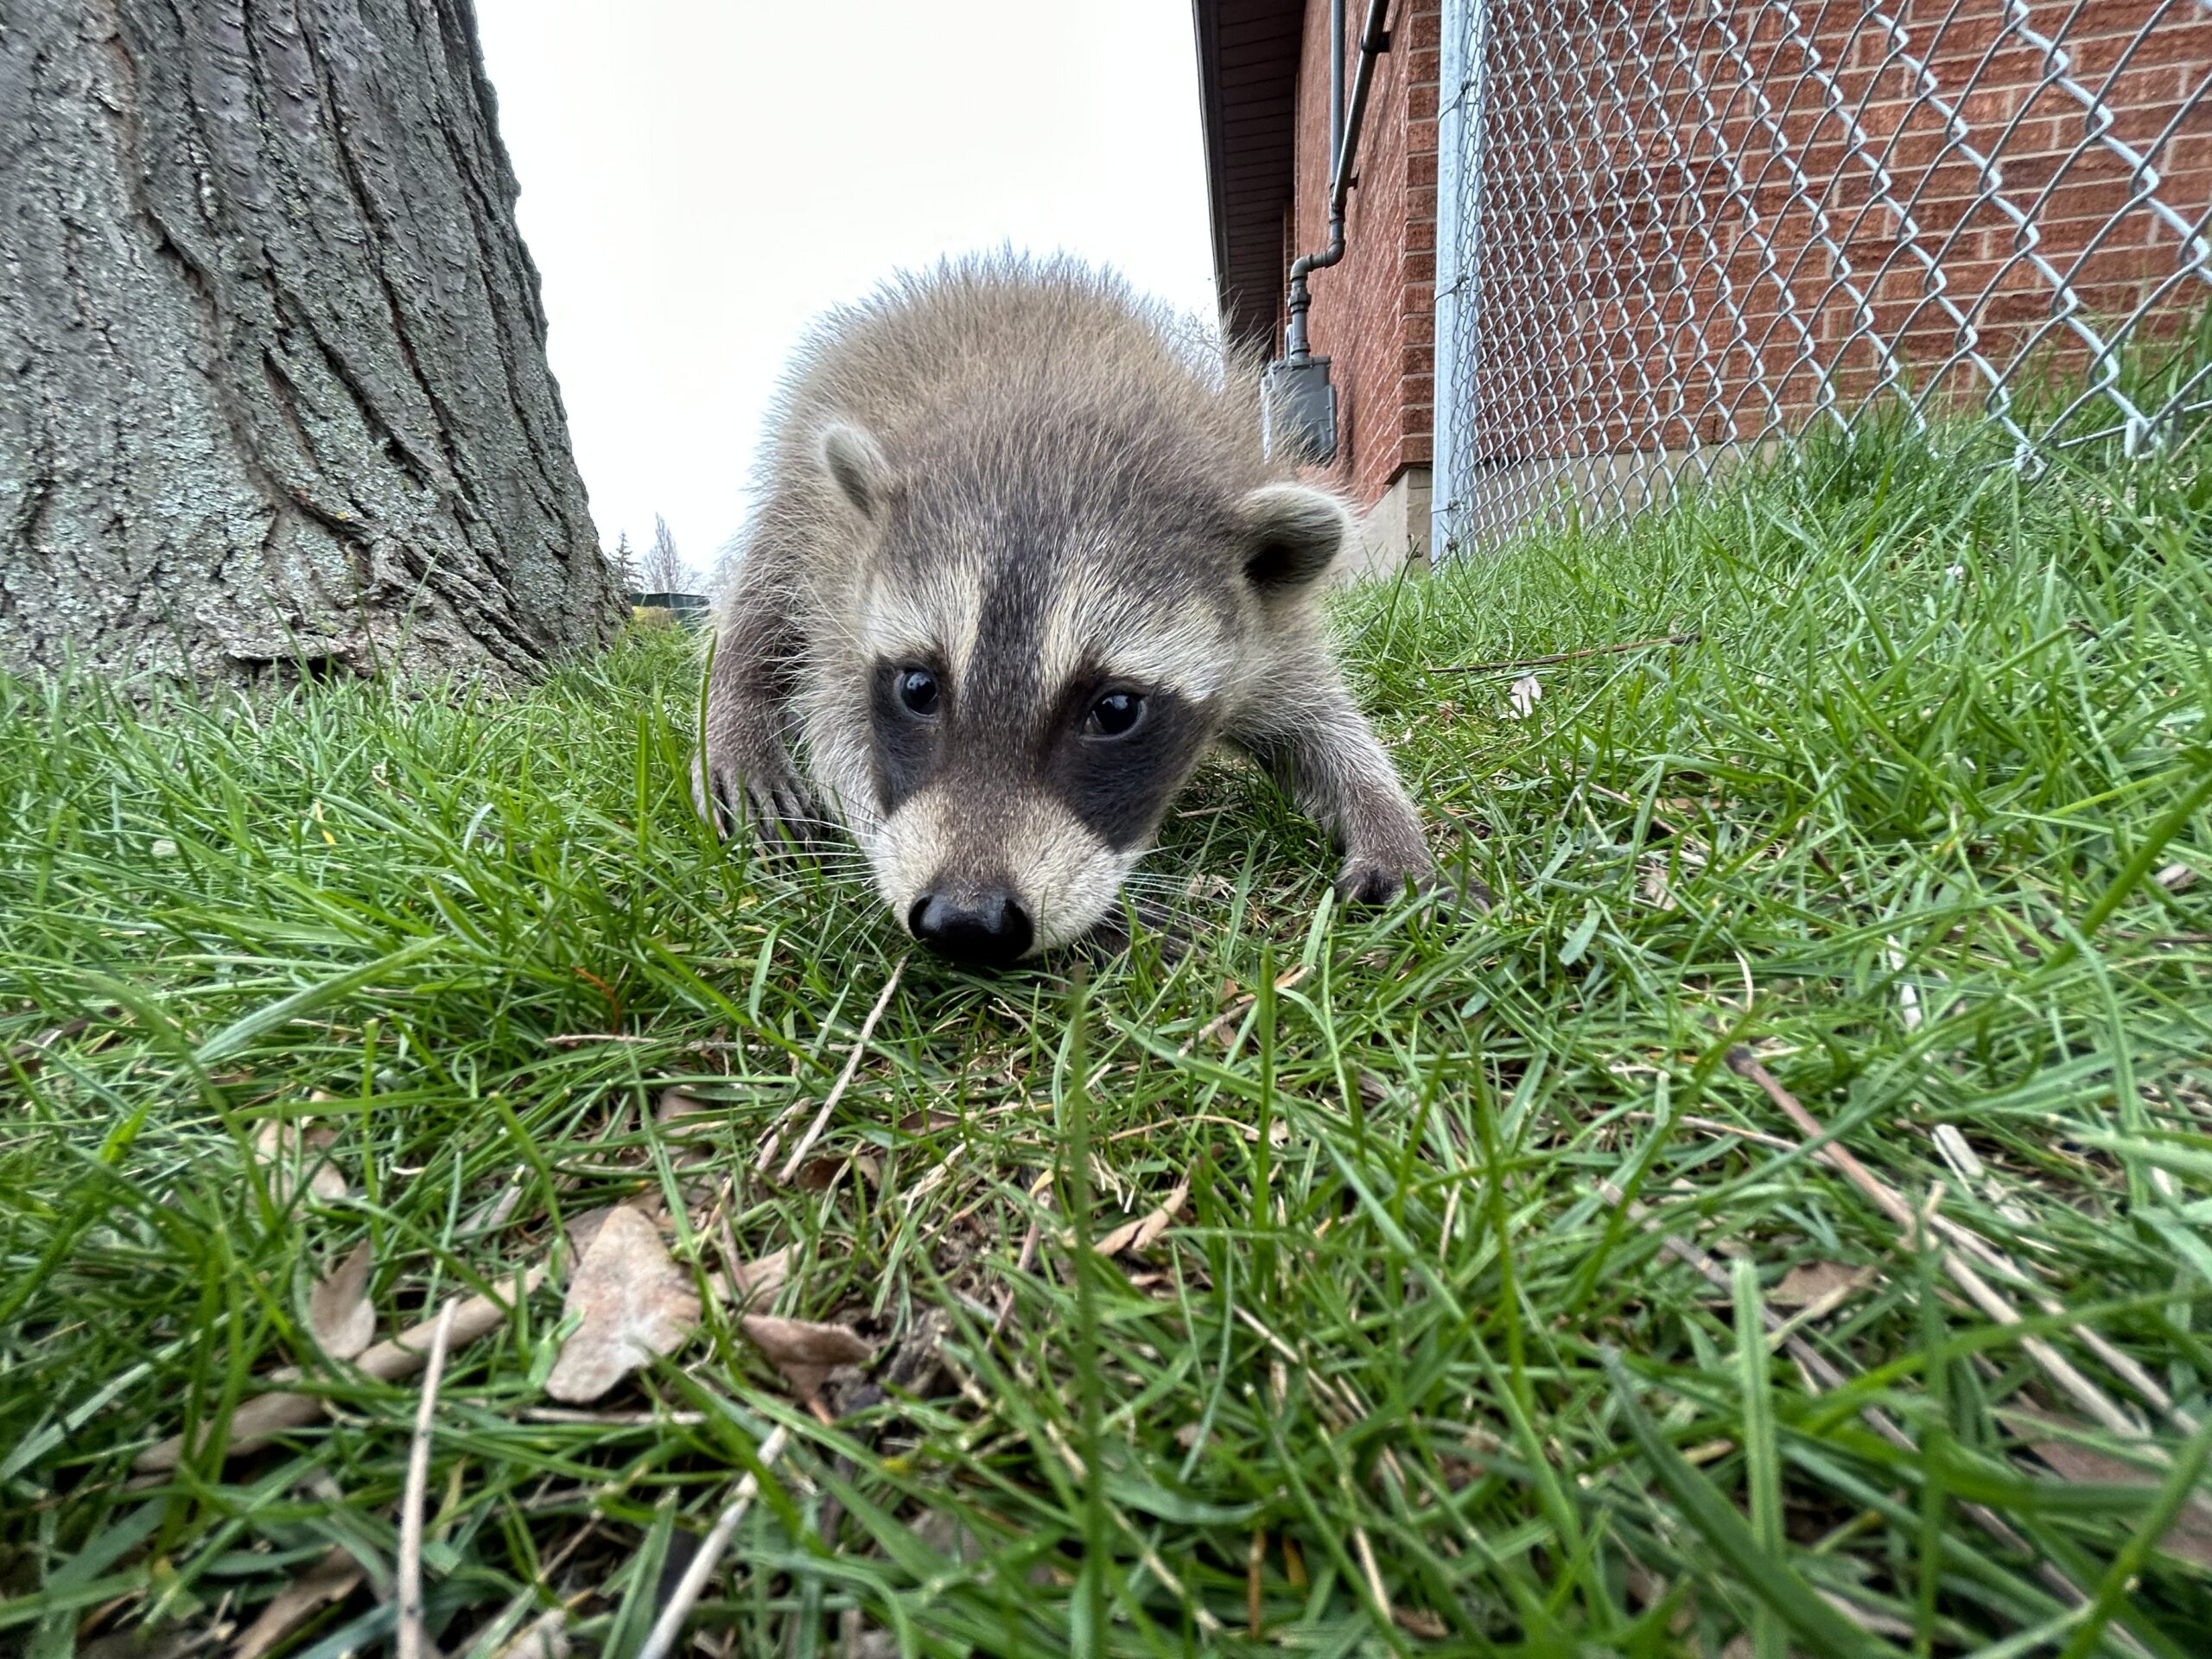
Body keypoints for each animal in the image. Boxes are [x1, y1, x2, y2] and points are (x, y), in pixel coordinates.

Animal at [698, 253, 1442, 969]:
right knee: (764, 594)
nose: (964, 921)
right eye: (917, 688)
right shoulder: (844, 591)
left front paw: (1384, 818)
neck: (1056, 412)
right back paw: (738, 713)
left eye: (1115, 710)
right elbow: (839, 728)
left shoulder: (1269, 623)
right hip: (805, 487)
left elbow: (1320, 721)